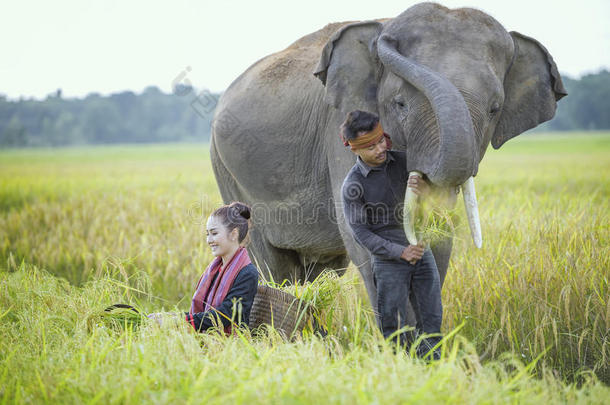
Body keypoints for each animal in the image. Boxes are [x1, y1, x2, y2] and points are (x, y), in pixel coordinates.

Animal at [208, 3, 560, 318]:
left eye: (494, 109)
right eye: (400, 104)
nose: (386, 37)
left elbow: (439, 235)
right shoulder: (340, 123)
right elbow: (361, 236)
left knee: (320, 270)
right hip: (227, 169)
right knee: (271, 264)